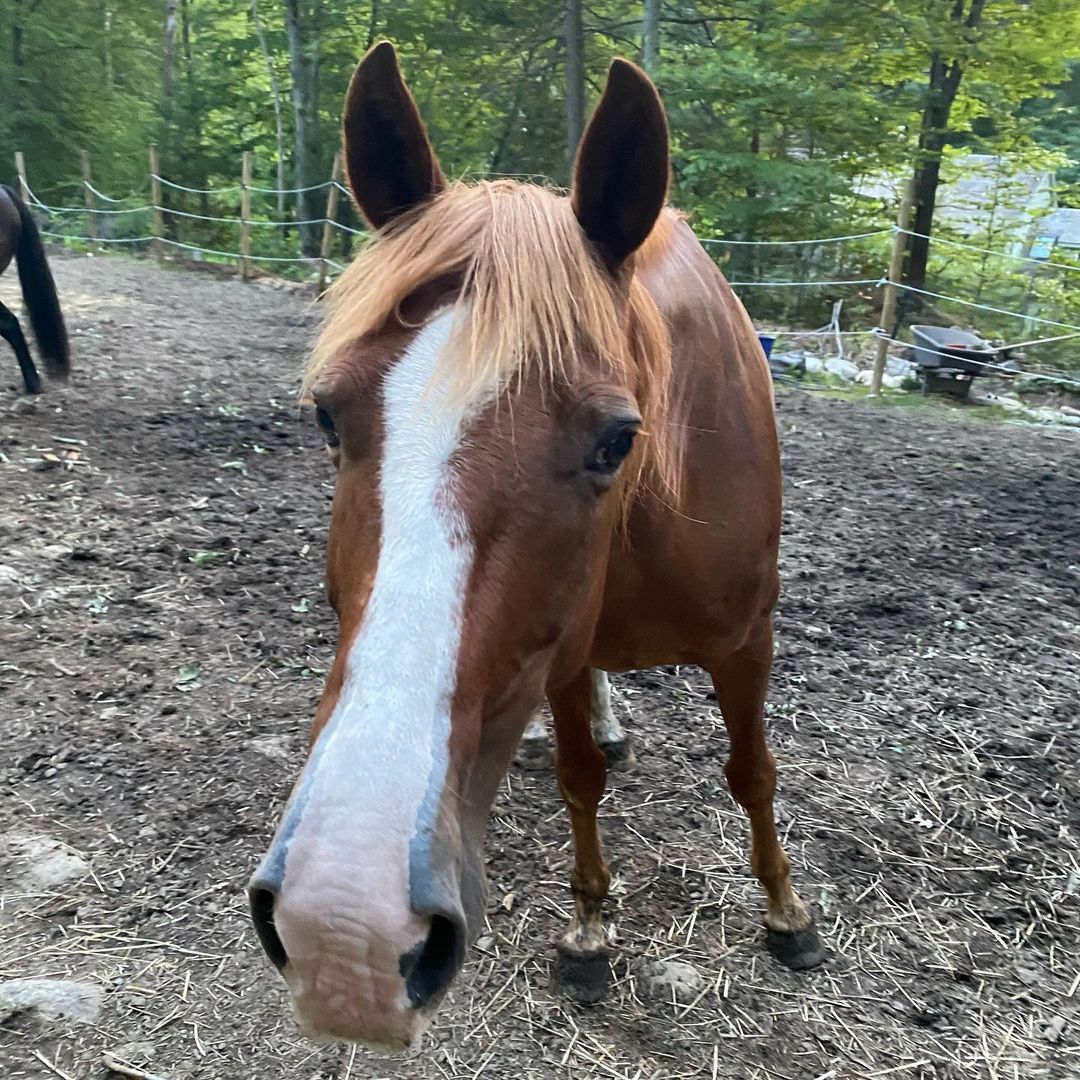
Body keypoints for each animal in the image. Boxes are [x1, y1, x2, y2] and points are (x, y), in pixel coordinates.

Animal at [250, 39, 825, 1045]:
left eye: (615, 440)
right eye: (326, 416)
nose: (343, 926)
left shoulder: (748, 641)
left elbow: (753, 773)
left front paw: (787, 915)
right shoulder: (561, 651)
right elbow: (578, 778)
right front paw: (589, 928)